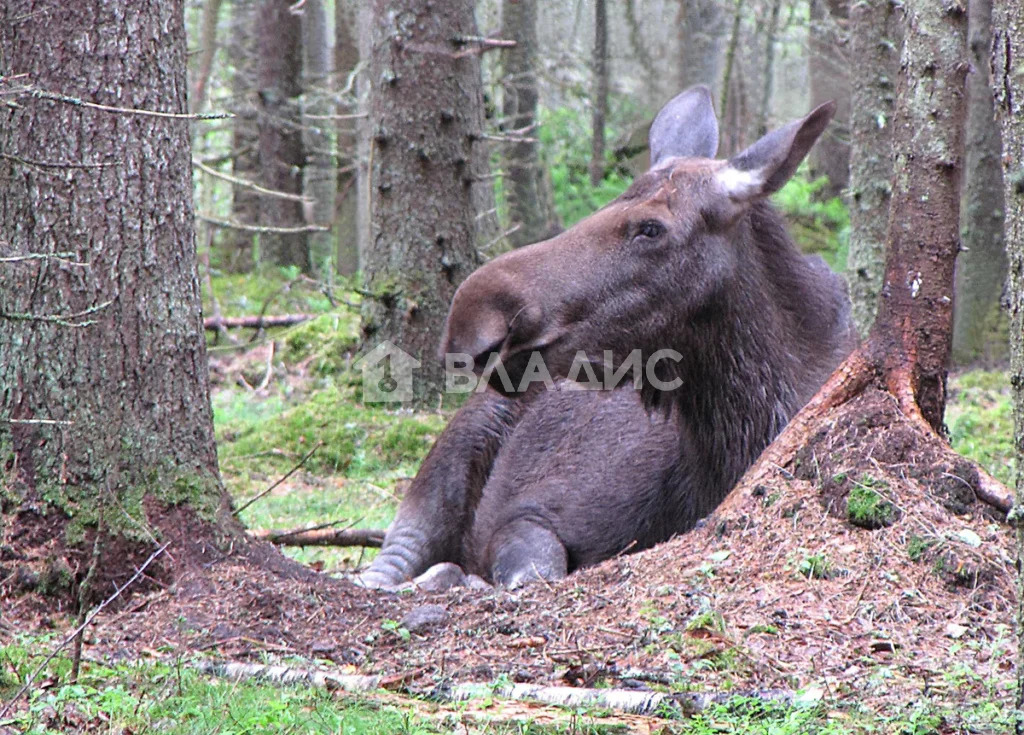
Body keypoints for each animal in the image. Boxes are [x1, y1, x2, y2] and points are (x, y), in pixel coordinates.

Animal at [360, 88, 856, 593]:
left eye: (651, 227)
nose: (472, 319)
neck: (725, 458)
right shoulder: (529, 511)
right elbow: (532, 572)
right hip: (450, 461)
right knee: (383, 569)